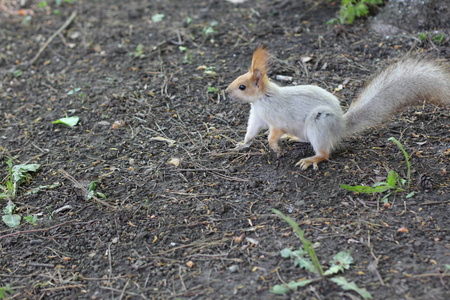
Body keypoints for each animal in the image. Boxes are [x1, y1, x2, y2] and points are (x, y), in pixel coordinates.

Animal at [225, 45, 450, 170]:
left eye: (242, 86)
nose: (226, 92)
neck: (262, 99)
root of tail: (341, 126)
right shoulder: (256, 116)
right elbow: (251, 132)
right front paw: (241, 144)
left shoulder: (278, 119)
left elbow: (272, 134)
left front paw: (275, 147)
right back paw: (294, 138)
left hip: (319, 122)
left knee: (325, 153)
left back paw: (311, 159)